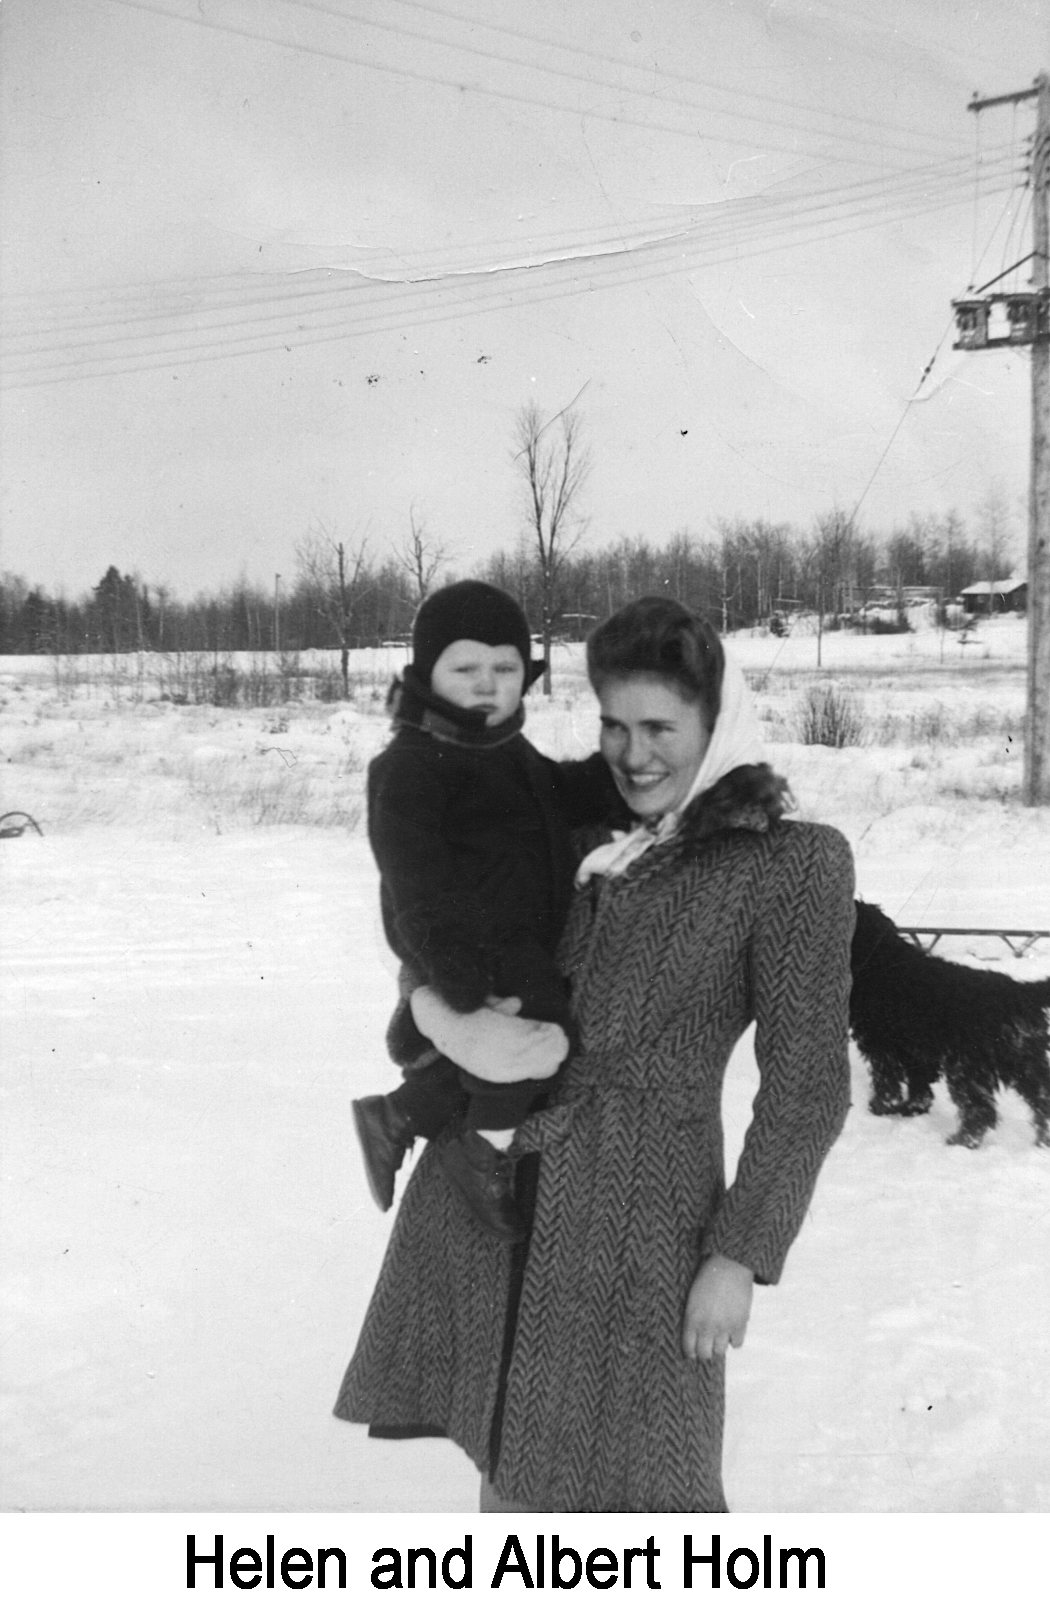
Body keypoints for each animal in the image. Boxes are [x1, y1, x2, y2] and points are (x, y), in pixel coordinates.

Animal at [851, 897, 1050, 1149]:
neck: (882, 960)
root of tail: (1021, 992)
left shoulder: (881, 1044)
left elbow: (886, 1082)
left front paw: (880, 1108)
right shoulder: (916, 1051)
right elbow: (919, 1087)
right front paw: (913, 1109)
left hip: (968, 1066)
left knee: (980, 1109)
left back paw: (962, 1141)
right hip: (1026, 1064)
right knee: (1042, 1101)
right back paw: (1042, 1142)